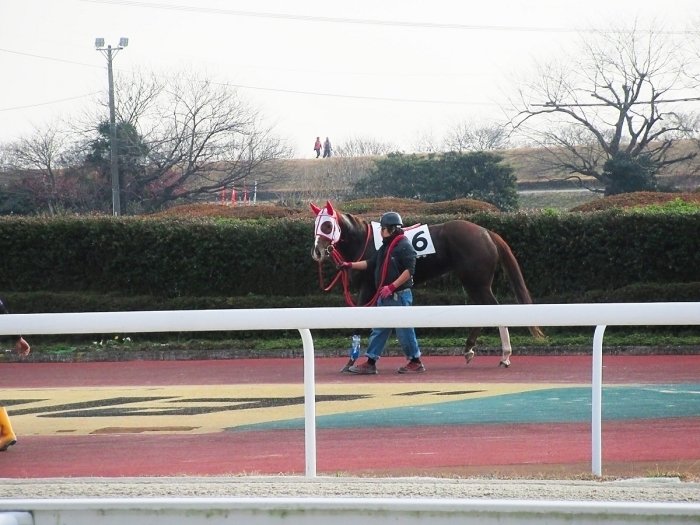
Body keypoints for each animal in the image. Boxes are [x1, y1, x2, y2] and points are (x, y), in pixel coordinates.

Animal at [312, 201, 548, 368]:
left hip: (476, 282)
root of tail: (486, 233)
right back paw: (471, 349)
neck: (365, 241)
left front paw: (352, 360)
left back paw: (503, 355)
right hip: (473, 282)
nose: (317, 252)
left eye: (327, 224)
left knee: (493, 308)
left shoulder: (368, 287)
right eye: (315, 224)